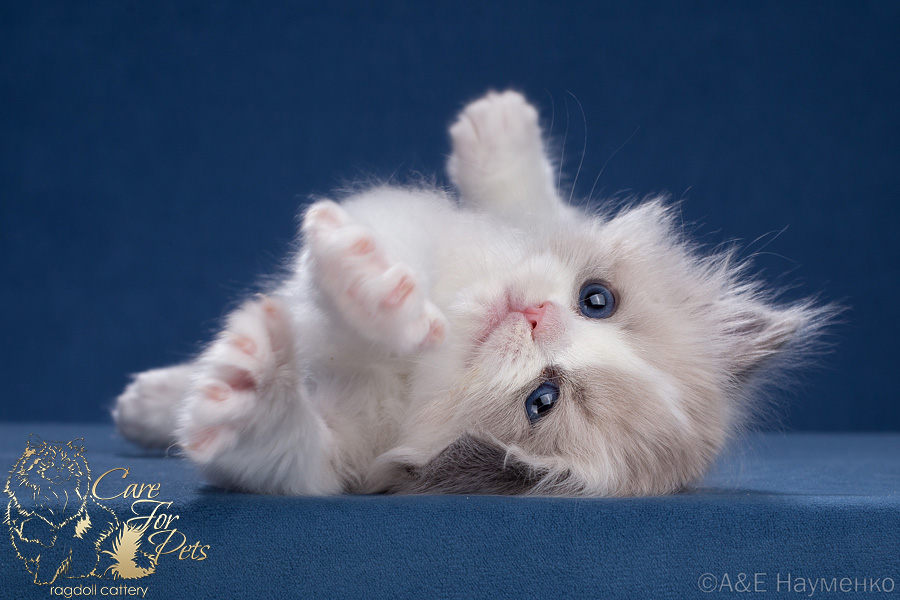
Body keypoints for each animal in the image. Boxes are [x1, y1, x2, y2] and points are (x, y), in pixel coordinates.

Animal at [110, 91, 824, 496]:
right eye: (596, 300)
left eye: (543, 400)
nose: (534, 316)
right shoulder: (444, 229)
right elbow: (511, 218)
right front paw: (374, 285)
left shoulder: (340, 458)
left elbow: (274, 447)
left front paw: (248, 387)